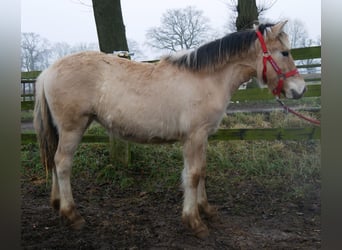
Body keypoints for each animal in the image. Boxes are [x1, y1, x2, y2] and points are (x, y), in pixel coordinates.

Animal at [34, 20, 304, 237]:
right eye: (284, 52)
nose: (299, 89)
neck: (206, 78)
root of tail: (48, 71)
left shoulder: (203, 137)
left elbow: (202, 171)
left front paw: (206, 210)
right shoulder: (194, 137)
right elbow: (192, 175)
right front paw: (194, 221)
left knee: (56, 162)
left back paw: (57, 204)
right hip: (72, 128)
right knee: (62, 163)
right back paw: (72, 215)